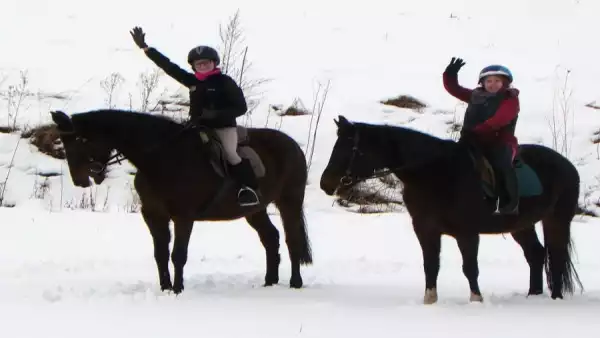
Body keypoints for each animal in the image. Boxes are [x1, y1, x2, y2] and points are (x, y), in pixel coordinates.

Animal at [51, 109, 312, 294]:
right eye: (64, 143)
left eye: (80, 140)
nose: (79, 180)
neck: (162, 156)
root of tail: (292, 145)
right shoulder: (153, 215)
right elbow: (160, 253)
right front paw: (165, 287)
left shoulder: (183, 216)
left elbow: (178, 254)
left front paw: (177, 289)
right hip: (255, 210)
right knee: (271, 238)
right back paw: (269, 282)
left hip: (289, 201)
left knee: (292, 240)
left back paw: (295, 282)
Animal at [322, 115, 584, 304]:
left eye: (351, 149)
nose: (326, 183)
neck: (435, 173)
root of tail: (568, 165)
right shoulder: (425, 229)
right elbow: (430, 266)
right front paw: (430, 301)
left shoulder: (467, 232)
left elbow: (470, 268)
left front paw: (476, 300)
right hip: (521, 225)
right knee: (536, 255)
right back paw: (533, 296)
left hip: (557, 220)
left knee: (556, 256)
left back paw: (555, 298)